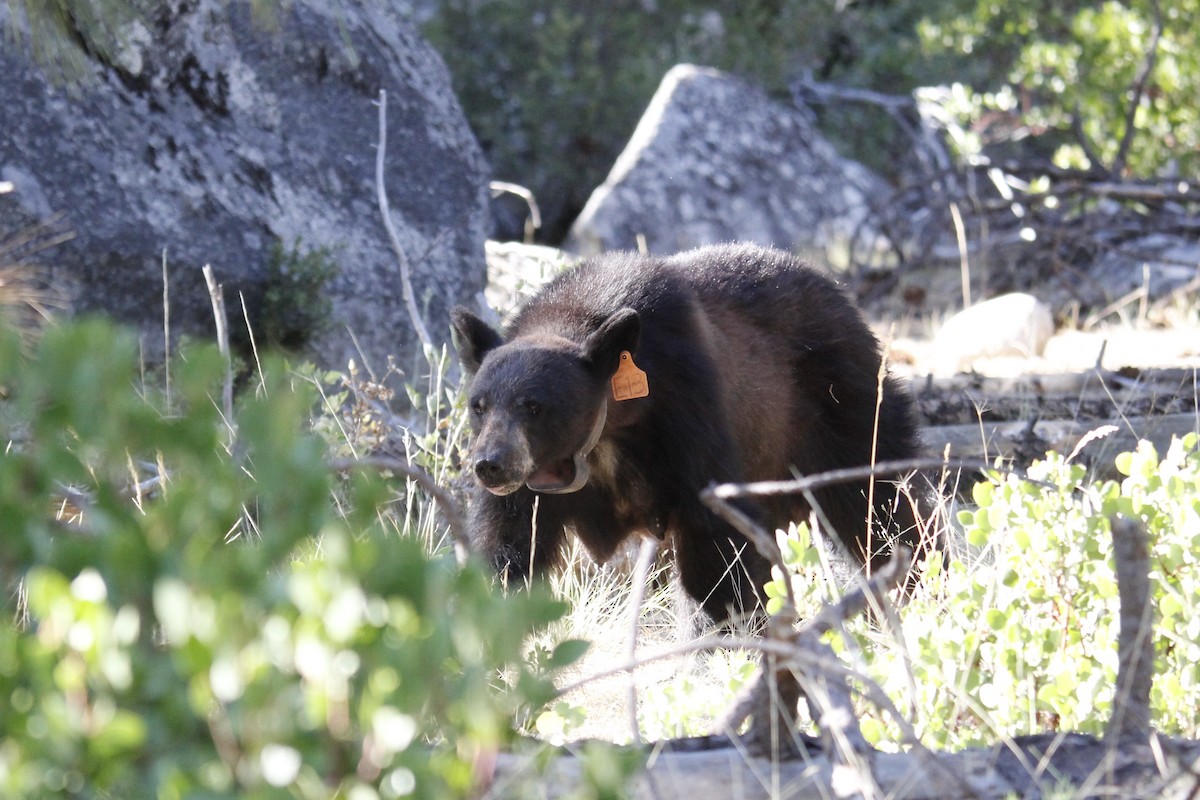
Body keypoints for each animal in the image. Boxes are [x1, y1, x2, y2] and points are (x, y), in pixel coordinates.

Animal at [450, 243, 925, 623]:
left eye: (534, 405)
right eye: (479, 405)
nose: (490, 465)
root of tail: (839, 290)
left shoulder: (686, 406)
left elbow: (716, 546)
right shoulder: (531, 488)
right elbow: (507, 548)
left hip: (838, 405)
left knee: (882, 501)